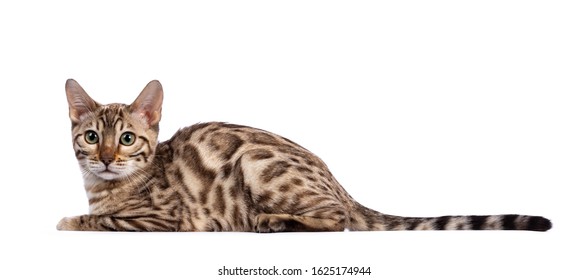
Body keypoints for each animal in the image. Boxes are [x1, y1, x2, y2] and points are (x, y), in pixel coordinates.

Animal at [56, 80, 552, 233]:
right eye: (92, 136)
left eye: (127, 139)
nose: (105, 158)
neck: (103, 187)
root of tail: (338, 182)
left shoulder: (163, 218)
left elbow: (100, 220)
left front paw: (69, 220)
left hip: (259, 166)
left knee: (340, 219)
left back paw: (274, 221)